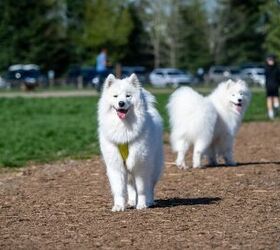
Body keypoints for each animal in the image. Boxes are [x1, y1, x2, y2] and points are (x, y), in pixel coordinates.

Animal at [98, 73, 164, 211]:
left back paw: (149, 201)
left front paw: (142, 204)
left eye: (128, 95)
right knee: (131, 186)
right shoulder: (116, 165)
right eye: (115, 96)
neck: (124, 128)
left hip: (153, 166)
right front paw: (119, 206)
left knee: (150, 186)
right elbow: (119, 189)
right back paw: (132, 201)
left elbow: (142, 188)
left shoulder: (140, 165)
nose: (121, 103)